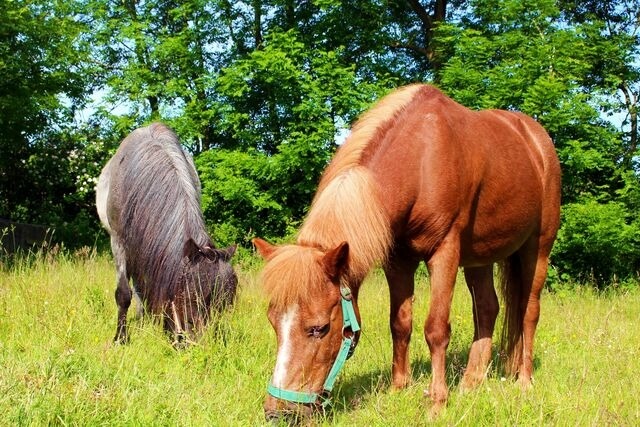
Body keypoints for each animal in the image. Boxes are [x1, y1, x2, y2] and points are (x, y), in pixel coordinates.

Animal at [252, 84, 564, 422]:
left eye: (319, 328)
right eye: (272, 321)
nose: (278, 412)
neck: (420, 158)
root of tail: (536, 138)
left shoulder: (444, 253)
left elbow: (436, 329)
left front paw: (437, 403)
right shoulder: (398, 261)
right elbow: (400, 324)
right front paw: (398, 389)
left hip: (538, 248)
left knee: (528, 312)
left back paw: (524, 382)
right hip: (479, 257)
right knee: (487, 308)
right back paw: (471, 382)